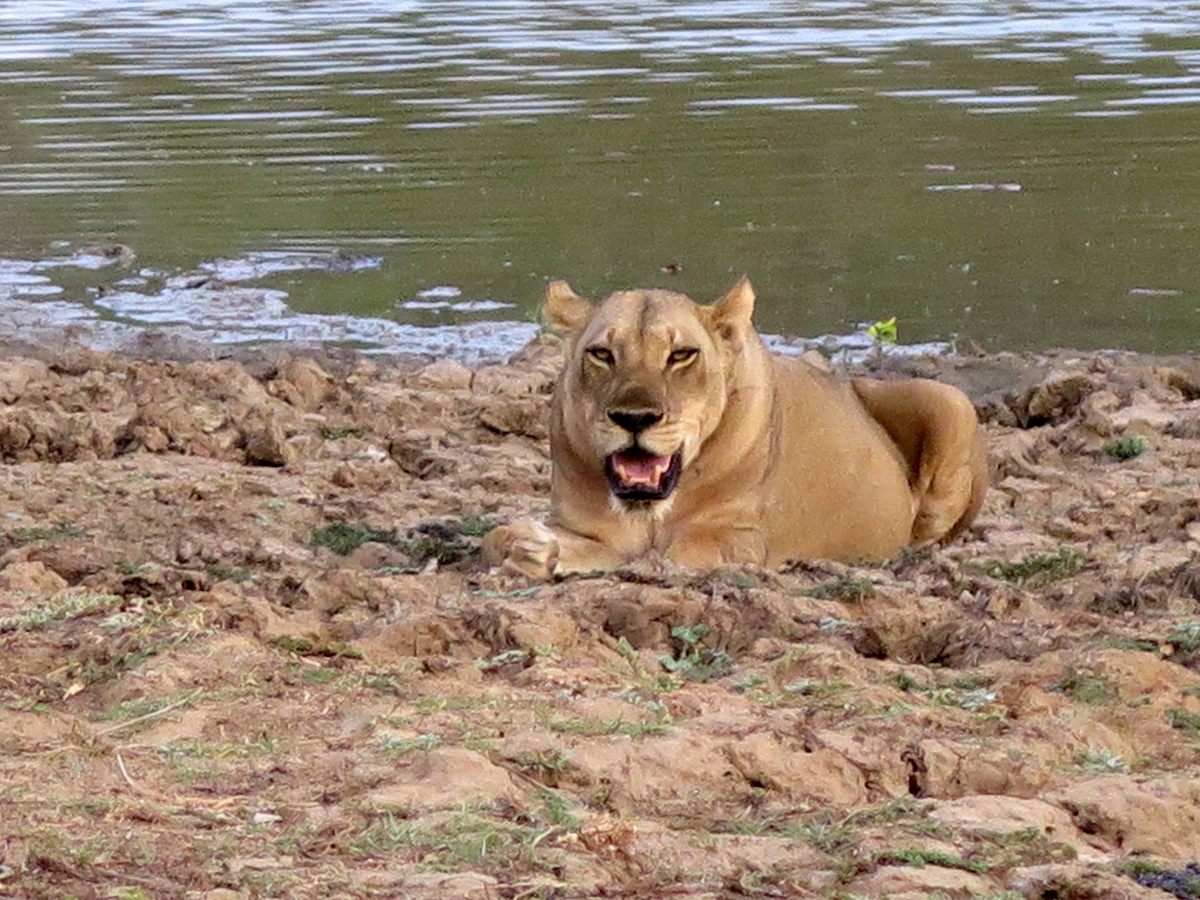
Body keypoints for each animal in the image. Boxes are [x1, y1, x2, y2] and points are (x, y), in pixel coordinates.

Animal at [483, 277, 988, 578]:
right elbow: (498, 538)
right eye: (602, 354)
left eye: (681, 355)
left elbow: (678, 555)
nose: (635, 419)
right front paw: (533, 550)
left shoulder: (742, 539)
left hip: (950, 401)